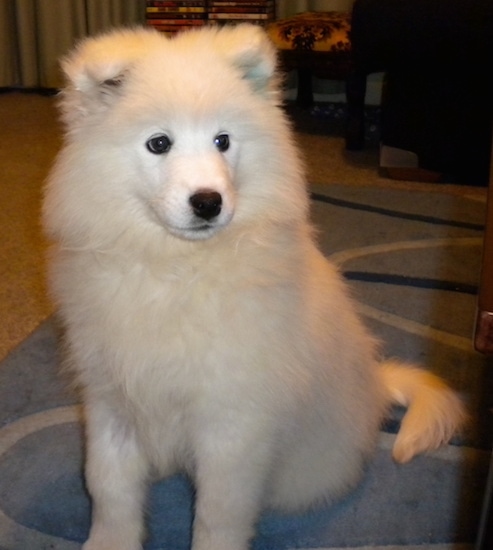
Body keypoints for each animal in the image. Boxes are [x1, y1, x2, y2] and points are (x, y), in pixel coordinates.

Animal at [43, 24, 466, 550]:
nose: (208, 202)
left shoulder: (234, 423)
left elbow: (218, 512)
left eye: (223, 140)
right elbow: (108, 486)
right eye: (158, 143)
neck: (178, 267)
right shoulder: (111, 400)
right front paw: (107, 542)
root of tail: (375, 384)